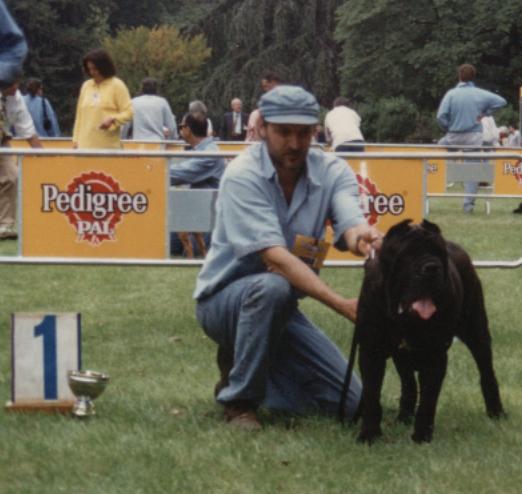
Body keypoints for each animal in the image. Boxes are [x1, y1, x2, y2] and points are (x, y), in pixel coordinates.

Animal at [352, 220, 502, 444]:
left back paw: (496, 412)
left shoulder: (435, 355)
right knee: (408, 385)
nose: (432, 267)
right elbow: (371, 394)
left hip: (477, 330)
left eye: (438, 253)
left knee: (486, 371)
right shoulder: (371, 351)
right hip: (402, 356)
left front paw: (422, 436)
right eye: (408, 253)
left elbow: (428, 399)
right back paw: (403, 417)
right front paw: (369, 435)